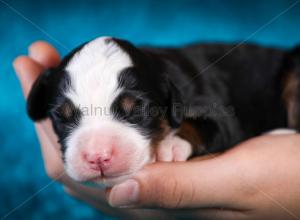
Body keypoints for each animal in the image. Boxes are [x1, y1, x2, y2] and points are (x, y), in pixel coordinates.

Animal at [27, 36, 300, 186]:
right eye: (62, 116)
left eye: (137, 110)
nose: (98, 157)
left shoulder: (224, 115)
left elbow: (203, 125)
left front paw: (172, 143)